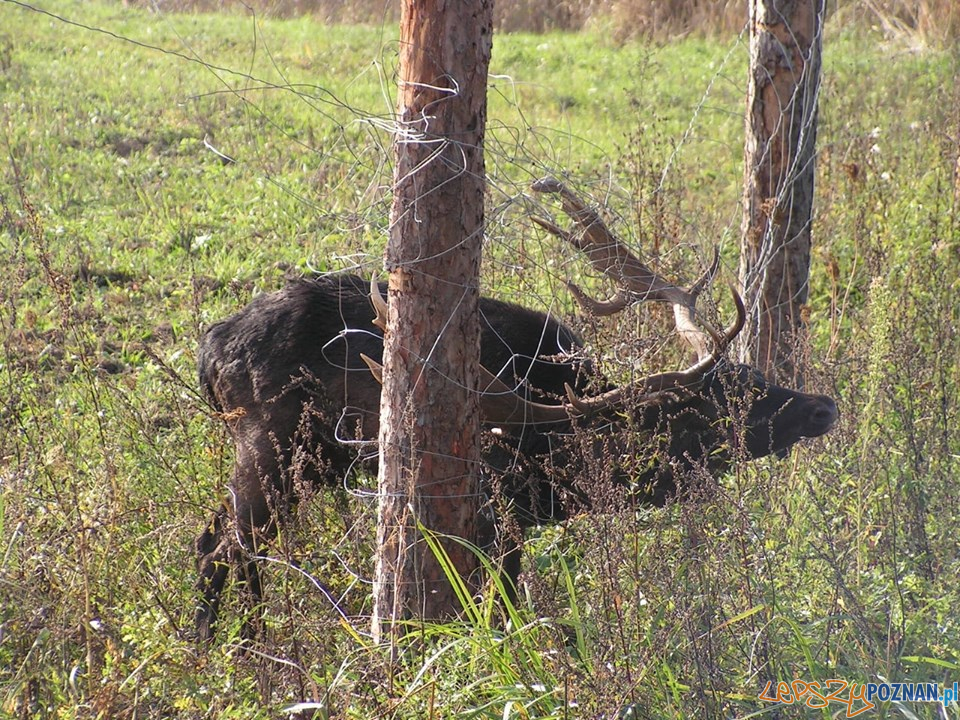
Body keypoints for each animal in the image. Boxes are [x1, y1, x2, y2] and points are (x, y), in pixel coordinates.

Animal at [193, 179, 832, 640]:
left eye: (754, 374)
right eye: (728, 403)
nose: (824, 406)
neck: (563, 453)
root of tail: (212, 348)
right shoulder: (498, 508)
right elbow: (504, 603)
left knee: (221, 540)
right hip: (271, 446)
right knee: (225, 546)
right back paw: (237, 650)